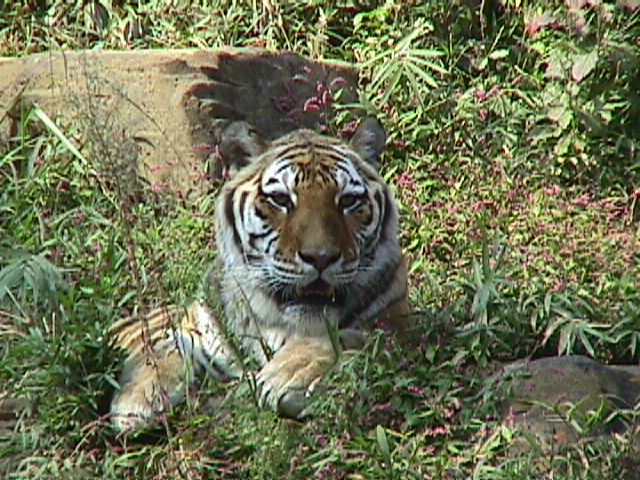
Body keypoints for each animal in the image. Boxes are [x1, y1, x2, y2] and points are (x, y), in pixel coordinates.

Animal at [109, 119, 410, 432]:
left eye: (348, 200)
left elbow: (352, 336)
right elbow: (162, 343)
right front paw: (137, 396)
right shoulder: (198, 320)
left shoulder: (401, 322)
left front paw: (290, 373)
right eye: (280, 199)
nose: (321, 257)